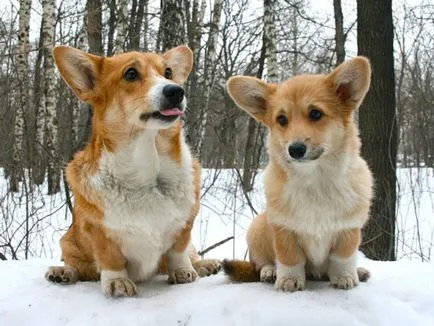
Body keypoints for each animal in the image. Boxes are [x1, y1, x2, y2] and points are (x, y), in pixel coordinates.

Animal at [45, 45, 220, 298]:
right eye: (130, 74)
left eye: (168, 72)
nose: (176, 91)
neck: (148, 174)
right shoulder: (98, 230)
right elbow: (110, 259)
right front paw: (117, 282)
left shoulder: (186, 223)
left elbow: (178, 251)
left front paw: (183, 272)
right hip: (68, 243)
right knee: (79, 268)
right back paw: (62, 272)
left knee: (191, 254)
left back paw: (205, 265)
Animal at [224, 57, 372, 292]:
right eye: (281, 119)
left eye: (315, 114)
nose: (295, 149)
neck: (315, 179)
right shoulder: (284, 229)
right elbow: (289, 258)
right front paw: (289, 280)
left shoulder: (348, 229)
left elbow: (342, 258)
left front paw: (346, 277)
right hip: (257, 229)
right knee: (260, 262)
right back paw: (269, 271)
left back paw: (358, 271)